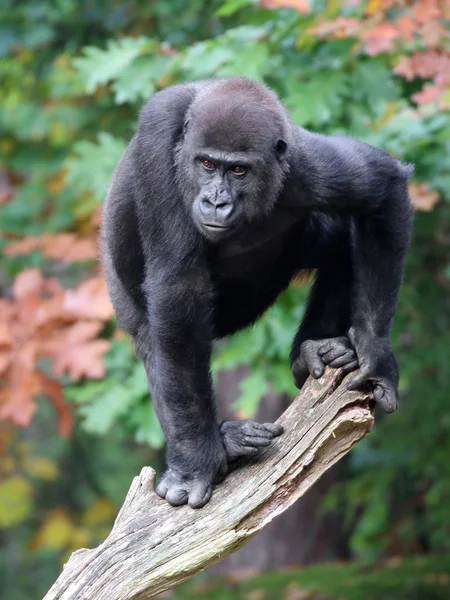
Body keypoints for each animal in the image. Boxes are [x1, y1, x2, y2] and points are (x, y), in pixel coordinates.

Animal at [103, 77, 414, 508]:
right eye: (206, 165)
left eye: (238, 170)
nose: (215, 201)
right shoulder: (158, 138)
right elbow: (177, 291)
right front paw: (195, 462)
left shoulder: (306, 167)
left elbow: (383, 189)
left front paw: (376, 354)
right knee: (155, 339)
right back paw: (226, 442)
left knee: (339, 241)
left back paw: (312, 350)